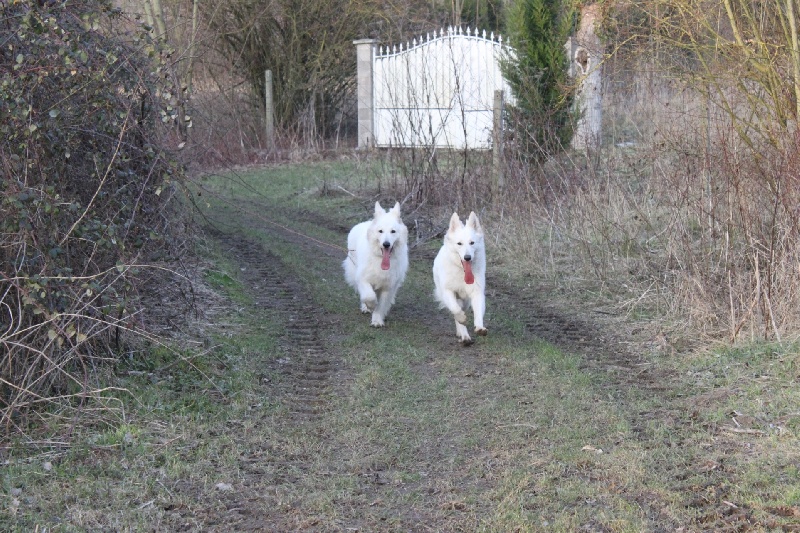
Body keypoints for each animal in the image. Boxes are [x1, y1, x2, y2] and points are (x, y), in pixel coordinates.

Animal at [434, 212, 484, 344]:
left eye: (472, 243)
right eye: (459, 244)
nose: (467, 257)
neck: (462, 273)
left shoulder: (476, 292)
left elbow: (478, 312)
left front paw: (480, 327)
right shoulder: (448, 291)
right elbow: (456, 310)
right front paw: (462, 319)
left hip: (466, 301)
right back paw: (464, 335)